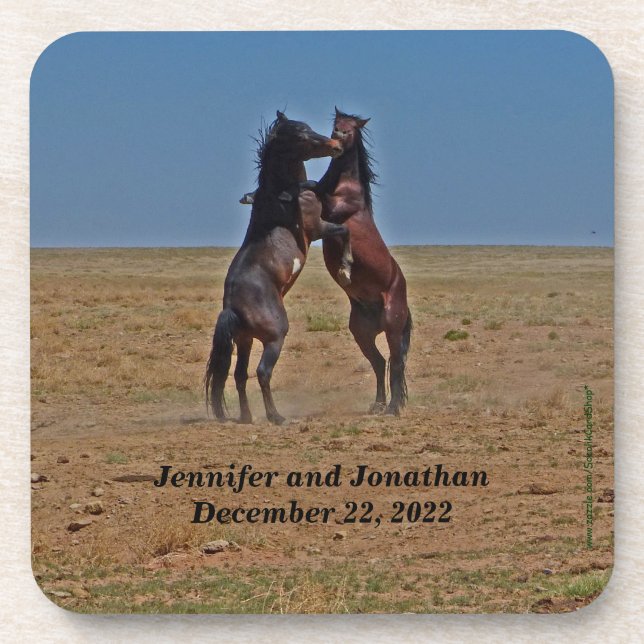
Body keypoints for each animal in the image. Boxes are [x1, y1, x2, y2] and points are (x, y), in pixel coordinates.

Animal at [205, 111, 351, 425]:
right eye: (300, 135)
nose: (335, 145)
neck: (283, 193)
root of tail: (231, 306)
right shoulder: (318, 228)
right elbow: (344, 230)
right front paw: (346, 268)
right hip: (274, 337)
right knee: (262, 372)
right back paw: (276, 416)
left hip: (245, 340)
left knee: (239, 375)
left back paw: (247, 417)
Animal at [316, 108, 412, 416]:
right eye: (336, 124)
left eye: (352, 128)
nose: (336, 141)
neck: (345, 185)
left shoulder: (333, 211)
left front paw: (345, 267)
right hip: (361, 333)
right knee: (380, 363)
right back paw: (378, 405)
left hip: (392, 327)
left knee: (395, 362)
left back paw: (393, 408)